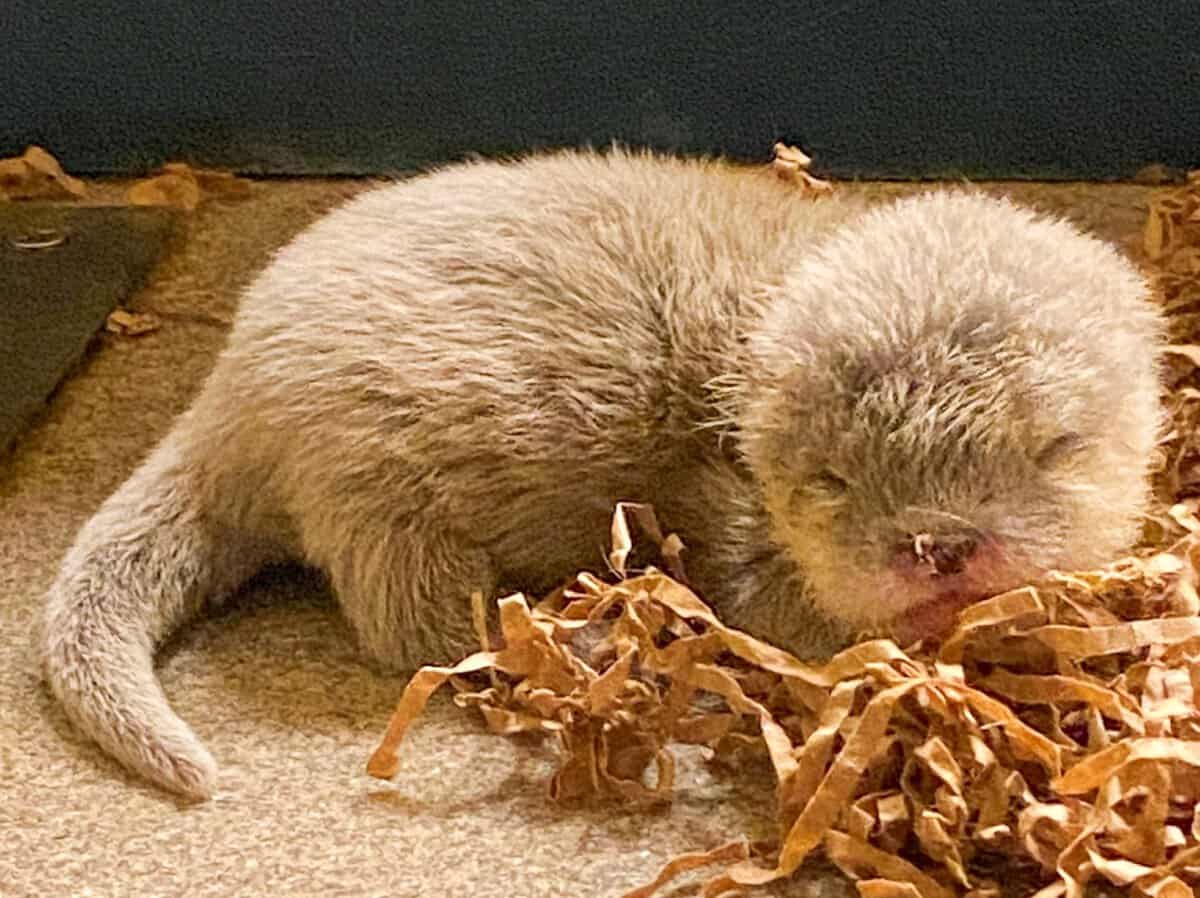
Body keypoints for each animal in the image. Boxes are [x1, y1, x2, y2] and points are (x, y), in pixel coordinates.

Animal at [40, 149, 1163, 801]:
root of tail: (233, 382)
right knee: (412, 624)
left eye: (1058, 446)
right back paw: (576, 637)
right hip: (374, 480)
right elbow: (774, 601)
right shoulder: (730, 512)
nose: (939, 545)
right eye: (833, 477)